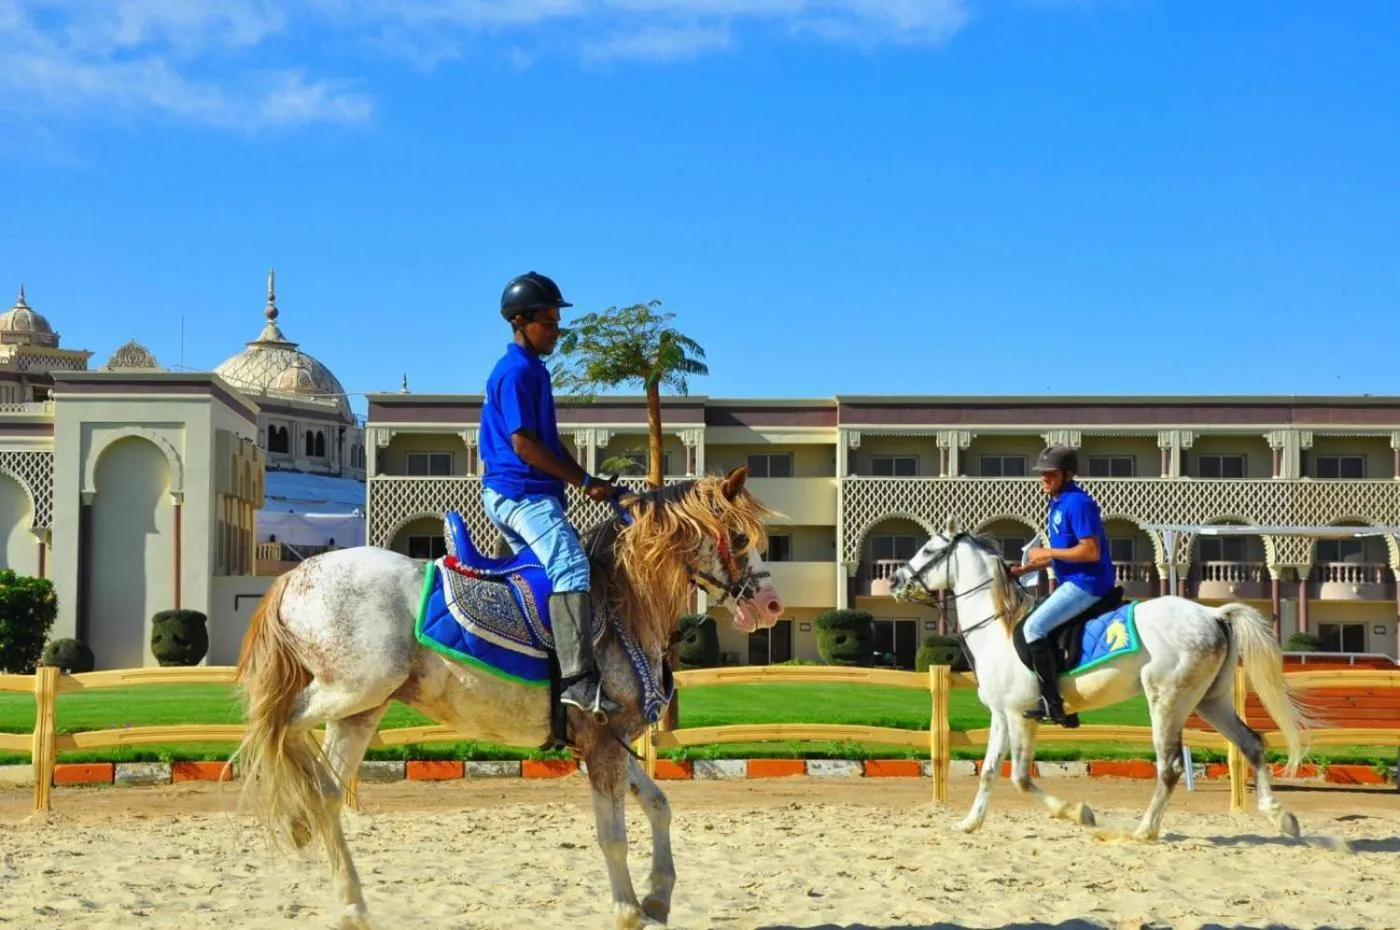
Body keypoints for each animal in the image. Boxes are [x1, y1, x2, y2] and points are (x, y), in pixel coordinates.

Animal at [231, 466, 786, 930]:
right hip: (353, 689)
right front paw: (628, 909)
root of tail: (297, 575)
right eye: (740, 537)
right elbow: (613, 836)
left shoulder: (608, 737)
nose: (772, 605)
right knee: (276, 725)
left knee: (325, 785)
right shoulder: (602, 743)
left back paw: (346, 895)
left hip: (362, 709)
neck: (622, 599)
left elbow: (659, 804)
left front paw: (658, 895)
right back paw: (301, 814)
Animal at [886, 522, 1314, 842]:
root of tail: (1213, 615)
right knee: (1251, 744)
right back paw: (1280, 817)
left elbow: (1020, 777)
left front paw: (1080, 813)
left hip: (1167, 701)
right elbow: (990, 770)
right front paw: (969, 823)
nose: (893, 579)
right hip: (1211, 701)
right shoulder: (1001, 715)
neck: (999, 630)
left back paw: (1145, 831)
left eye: (928, 550)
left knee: (1170, 766)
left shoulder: (1022, 716)